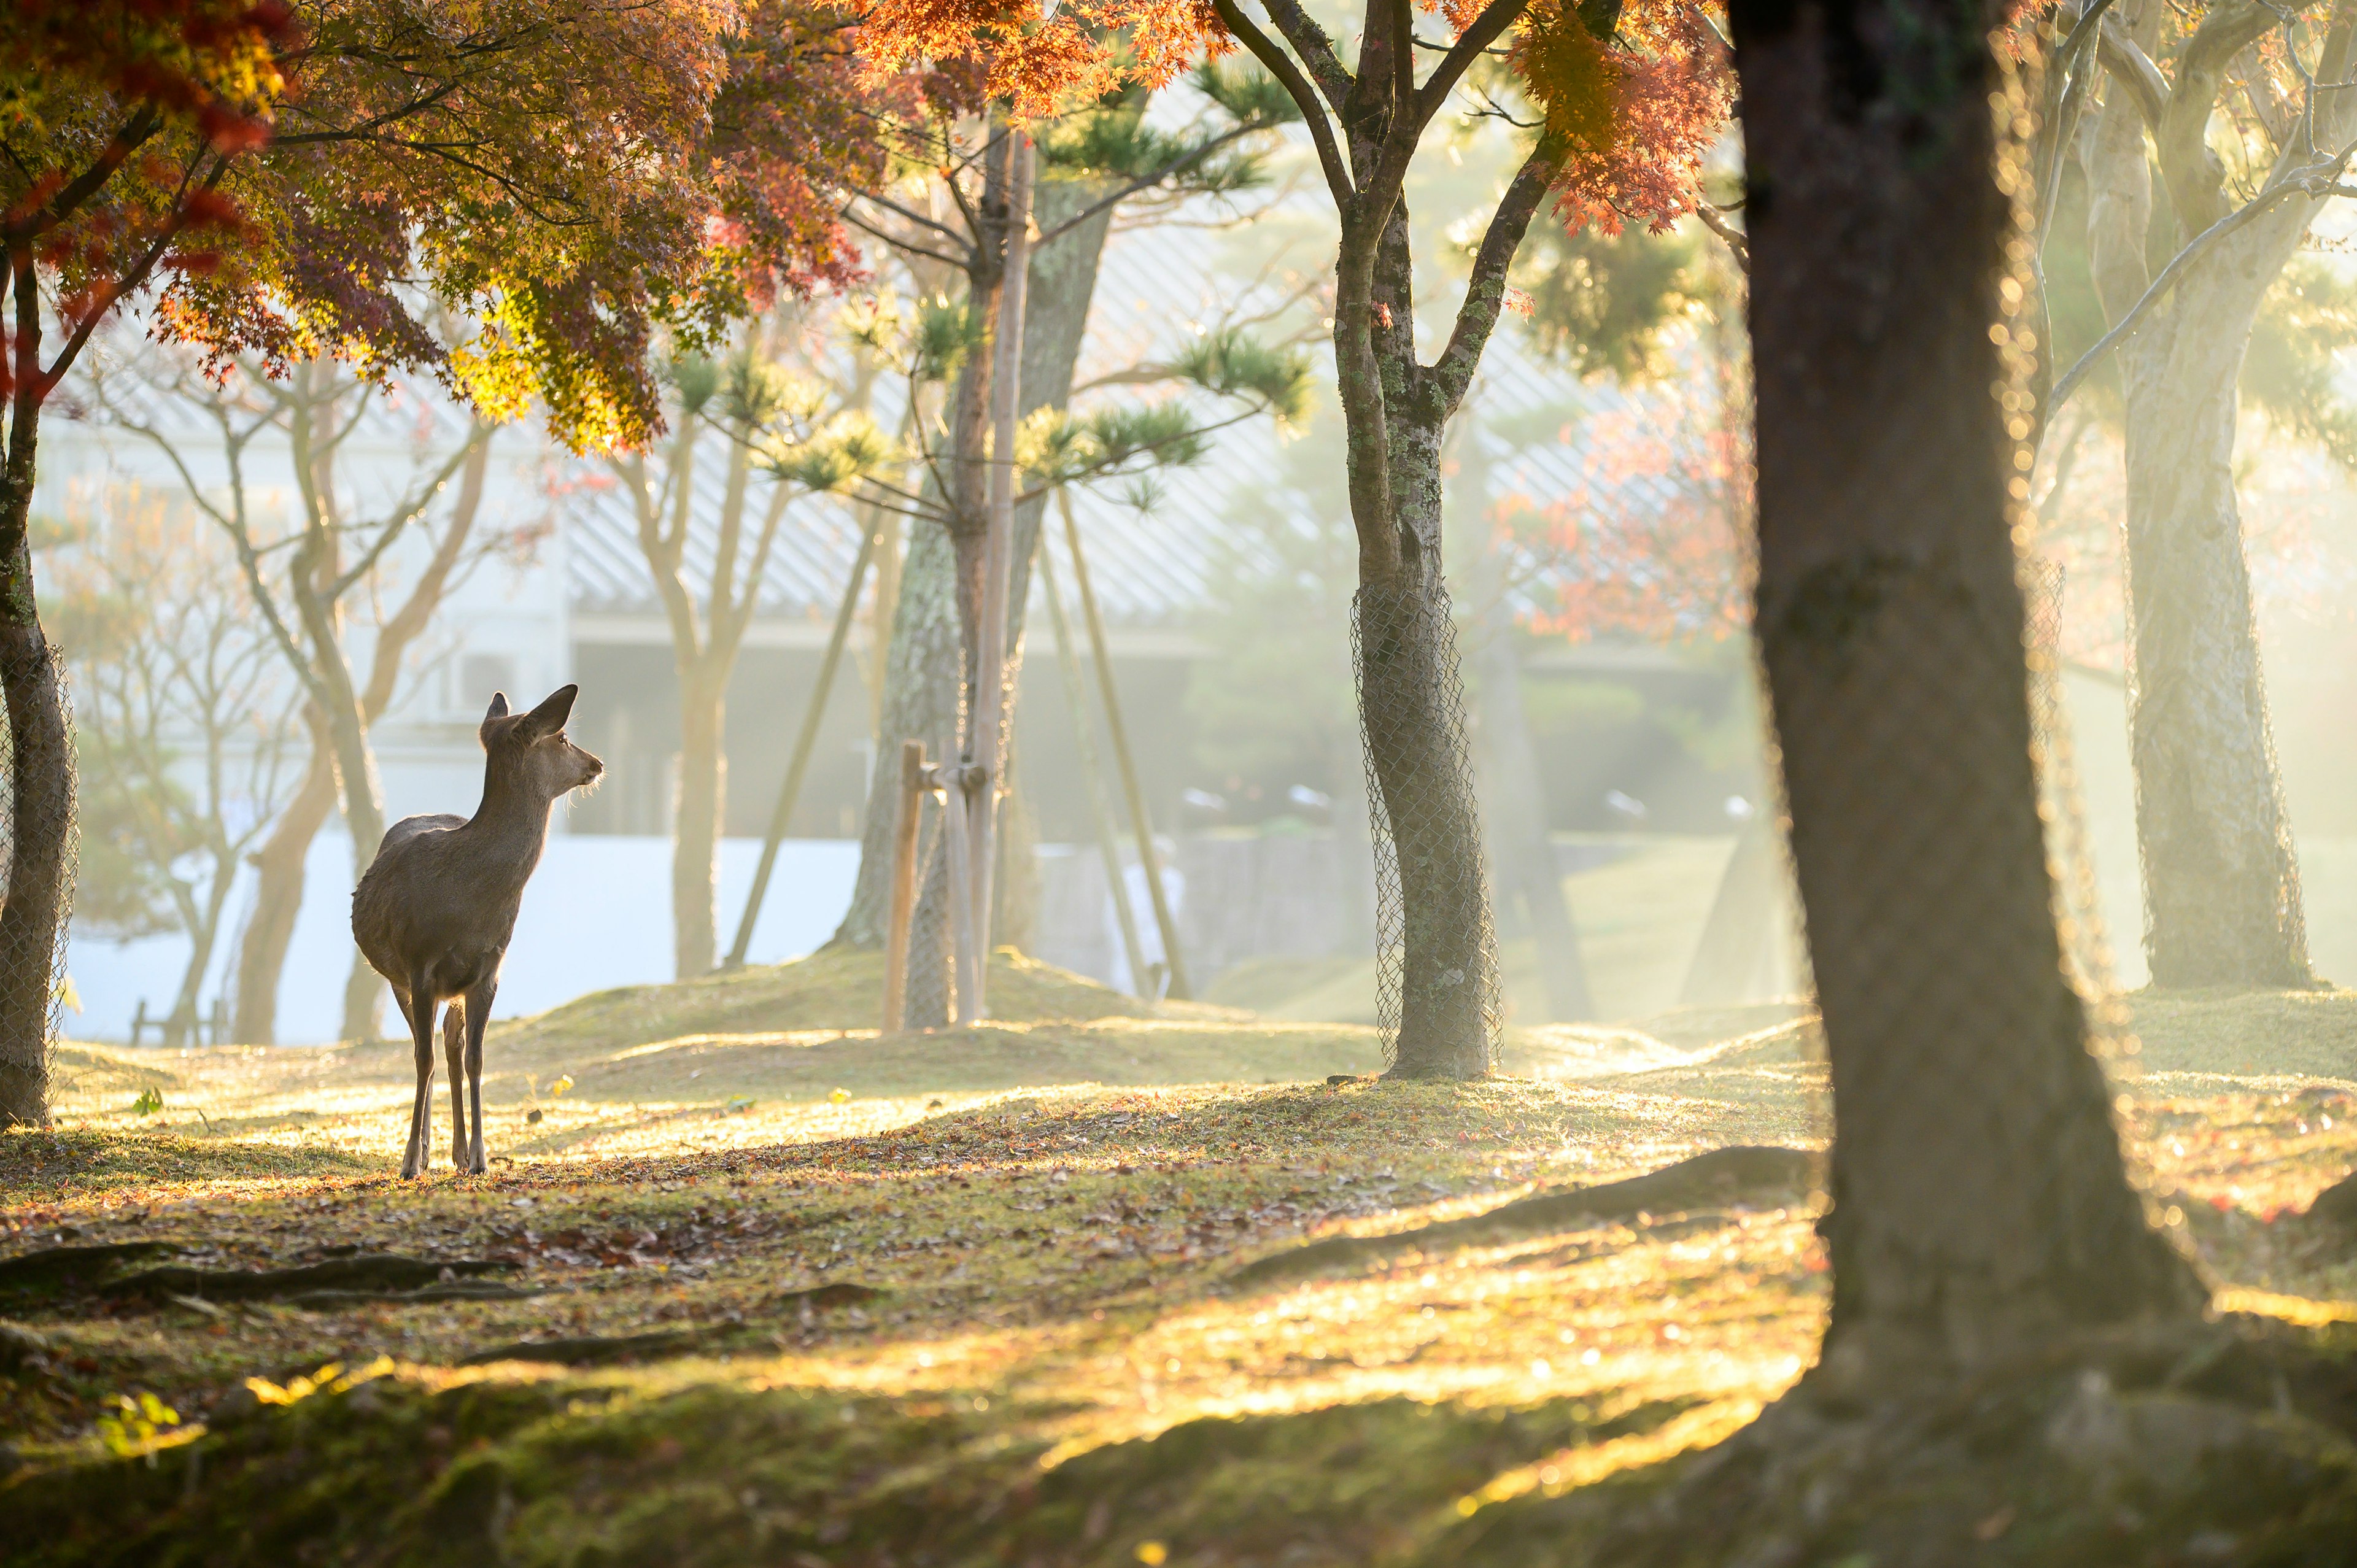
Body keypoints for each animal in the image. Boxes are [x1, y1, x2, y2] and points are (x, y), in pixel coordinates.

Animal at [354, 684, 608, 1174]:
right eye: (563, 738)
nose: (597, 763)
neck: (468, 901)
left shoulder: (490, 968)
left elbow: (475, 1058)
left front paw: (481, 1157)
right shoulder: (419, 963)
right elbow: (423, 1059)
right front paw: (411, 1159)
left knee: (450, 1047)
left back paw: (455, 1151)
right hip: (397, 978)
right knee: (427, 1051)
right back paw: (426, 1150)